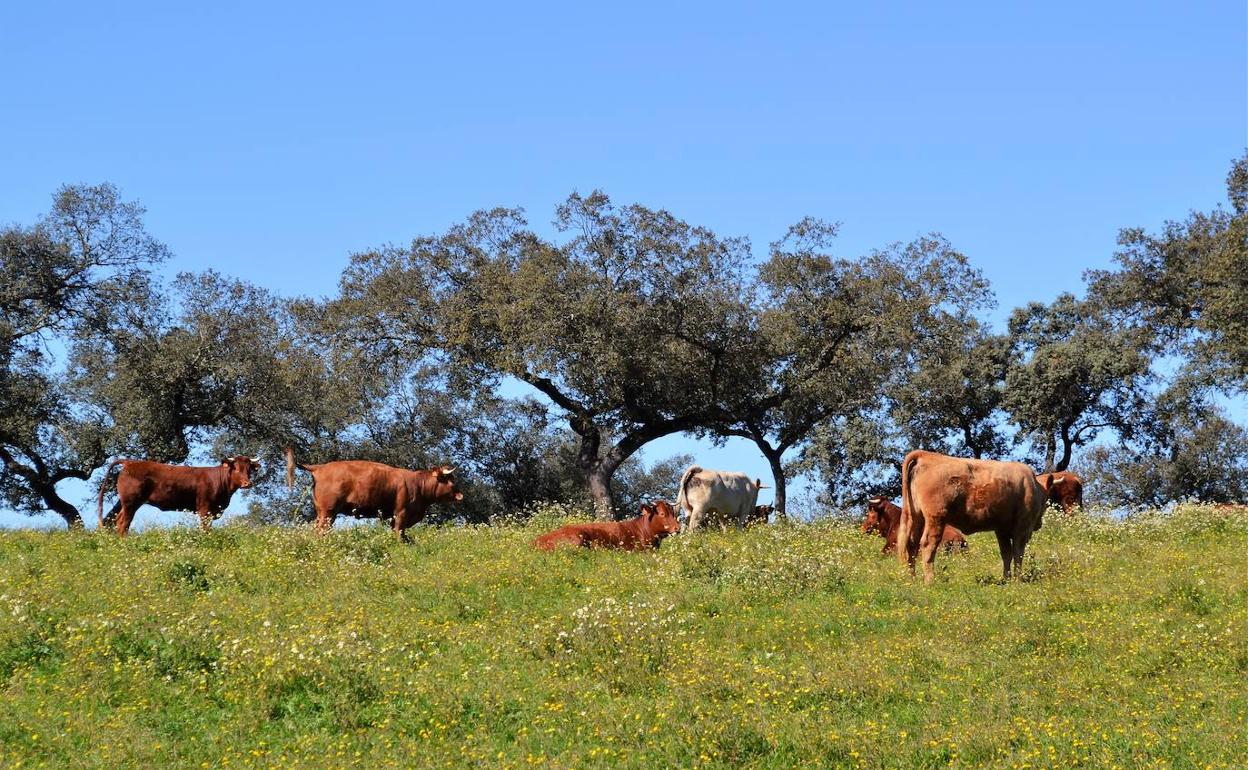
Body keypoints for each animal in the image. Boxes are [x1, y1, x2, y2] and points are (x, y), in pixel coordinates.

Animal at [96, 456, 259, 534]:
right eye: (236, 468)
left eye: (249, 469)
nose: (247, 483)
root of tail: (129, 462)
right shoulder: (204, 509)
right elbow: (205, 529)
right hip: (131, 502)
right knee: (124, 523)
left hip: (128, 503)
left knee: (118, 519)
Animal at [287, 454, 464, 544]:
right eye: (449, 480)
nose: (460, 495)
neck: (418, 485)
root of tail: (320, 467)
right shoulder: (401, 513)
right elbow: (399, 532)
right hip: (328, 511)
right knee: (321, 530)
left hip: (322, 512)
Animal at [898, 449, 1063, 581]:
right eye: (1046, 500)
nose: (1039, 524)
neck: (1033, 486)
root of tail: (925, 455)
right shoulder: (1022, 528)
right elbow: (1018, 553)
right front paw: (1017, 579)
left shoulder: (1001, 529)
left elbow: (1006, 553)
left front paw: (1006, 579)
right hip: (936, 518)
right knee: (927, 544)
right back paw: (930, 580)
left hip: (915, 516)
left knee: (911, 544)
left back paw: (912, 578)